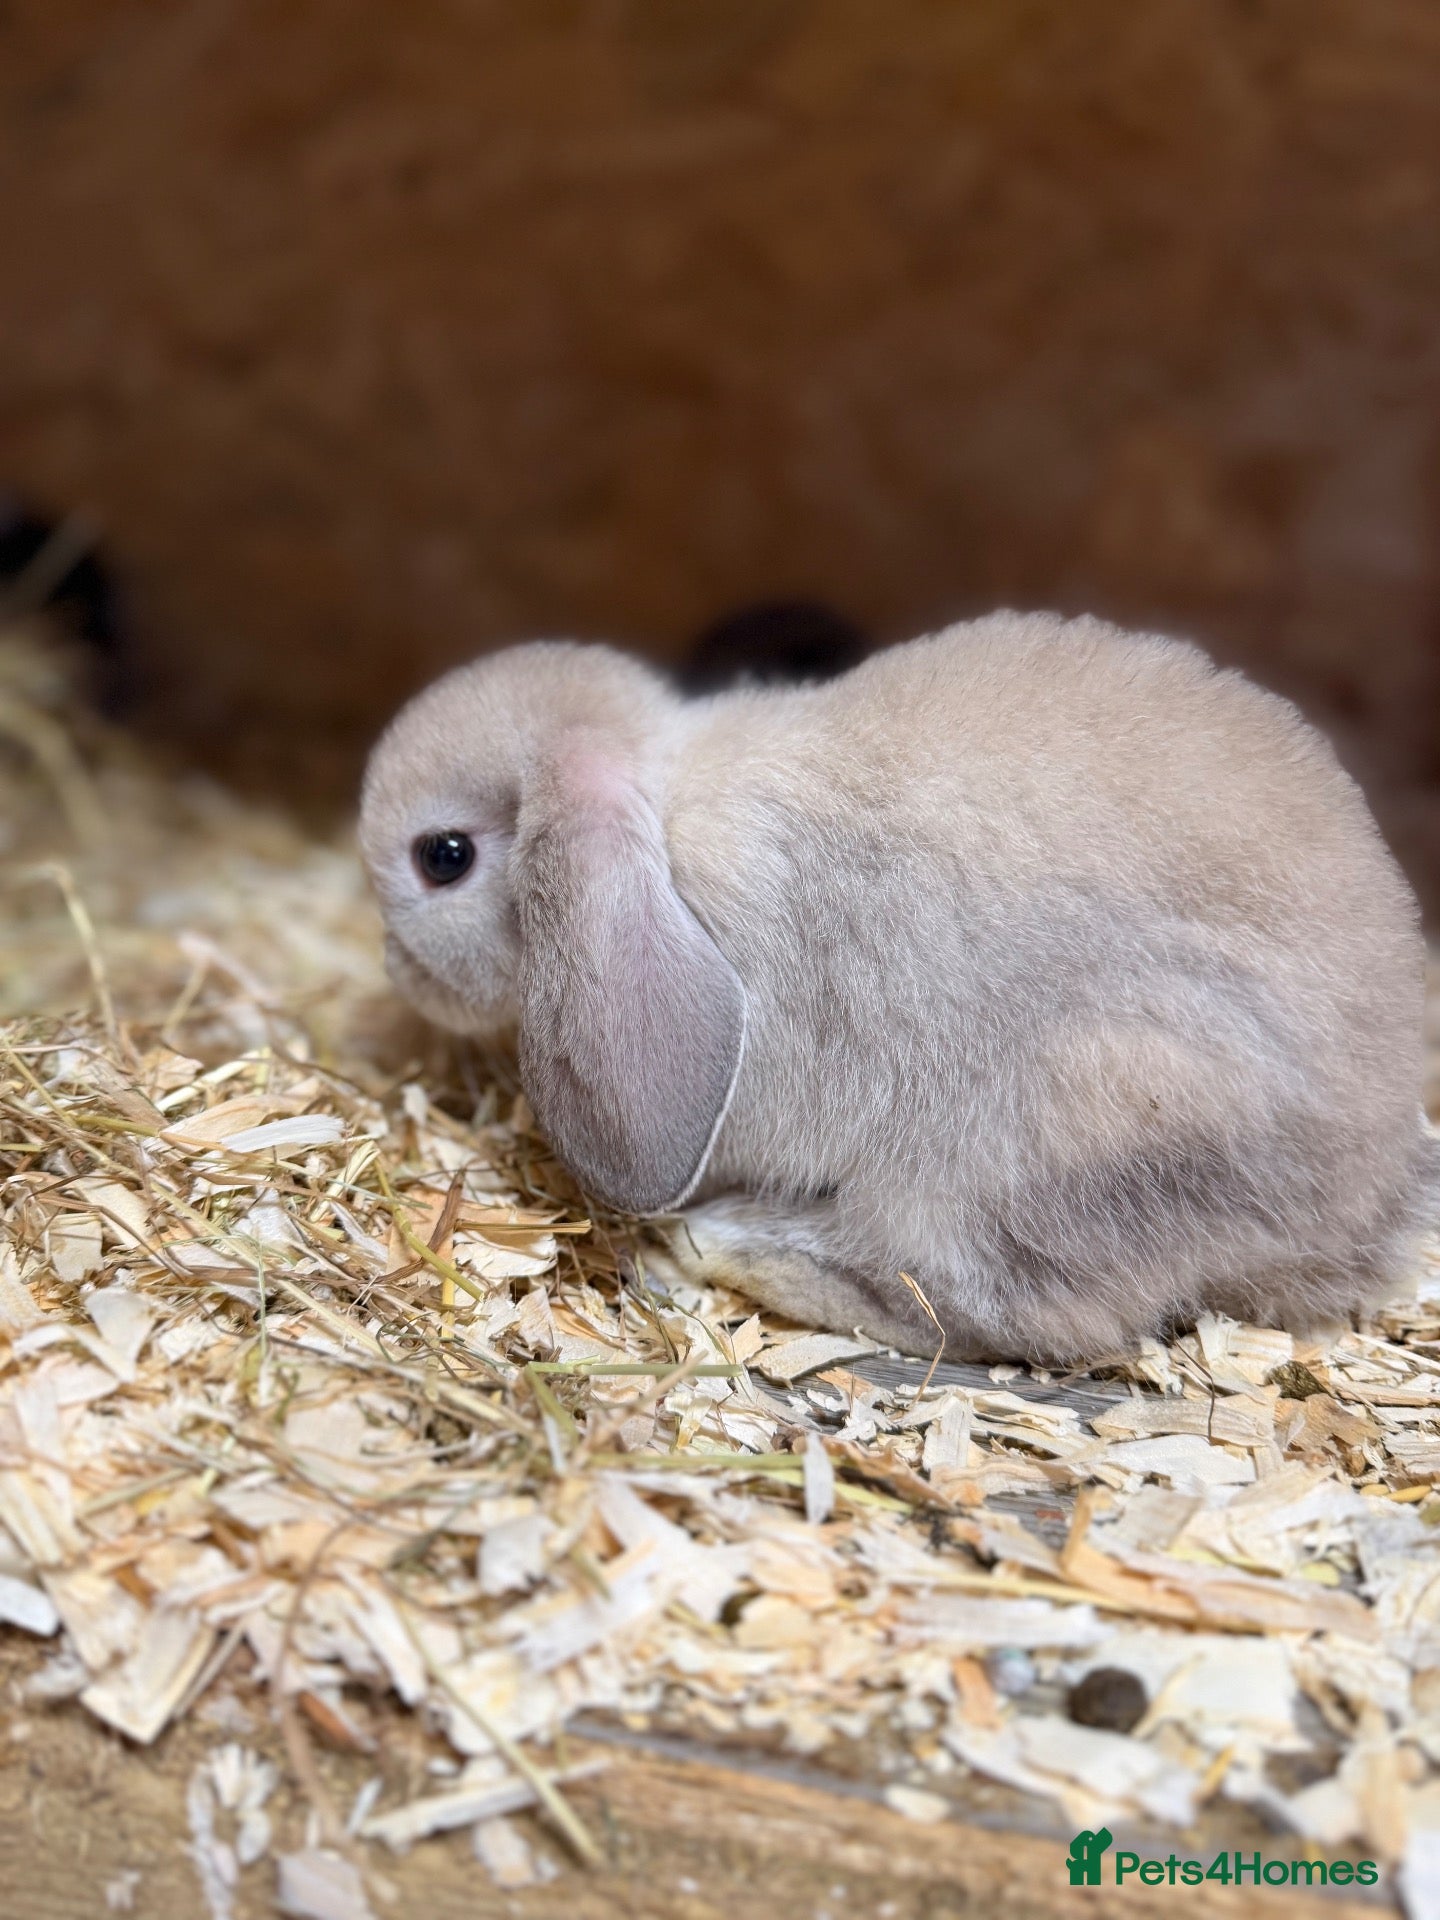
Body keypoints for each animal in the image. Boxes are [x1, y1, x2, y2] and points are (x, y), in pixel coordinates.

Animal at [359, 611, 1438, 1364]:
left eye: (443, 857)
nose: (398, 973)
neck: (662, 812)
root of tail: (1361, 1203)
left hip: (1053, 1129)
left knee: (1001, 1314)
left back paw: (734, 1246)